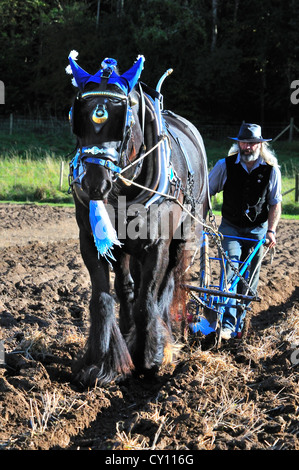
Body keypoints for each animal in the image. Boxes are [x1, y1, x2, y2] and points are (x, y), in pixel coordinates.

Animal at [67, 55, 209, 386]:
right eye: (78, 118)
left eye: (125, 121)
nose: (94, 183)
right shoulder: (92, 242)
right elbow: (103, 299)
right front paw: (102, 363)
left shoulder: (157, 246)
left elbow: (148, 301)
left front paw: (149, 358)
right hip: (122, 248)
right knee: (126, 287)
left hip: (184, 237)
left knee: (165, 287)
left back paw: (162, 339)